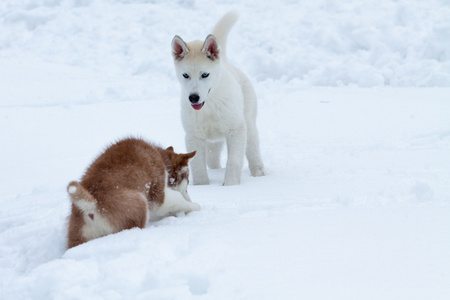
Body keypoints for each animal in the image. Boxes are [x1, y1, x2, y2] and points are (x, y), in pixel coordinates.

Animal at [67, 137, 200, 247]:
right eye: (187, 186)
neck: (162, 158)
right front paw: (195, 206)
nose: (190, 199)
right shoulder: (157, 195)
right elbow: (178, 199)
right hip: (139, 203)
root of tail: (92, 204)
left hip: (79, 236)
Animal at [171, 11, 264, 185]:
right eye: (185, 75)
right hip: (213, 142)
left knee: (253, 151)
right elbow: (198, 166)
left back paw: (259, 173)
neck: (210, 105)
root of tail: (226, 63)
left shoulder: (236, 130)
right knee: (212, 159)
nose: (193, 98)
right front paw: (203, 186)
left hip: (249, 126)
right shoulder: (194, 136)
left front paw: (230, 185)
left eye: (205, 74)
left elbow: (234, 161)